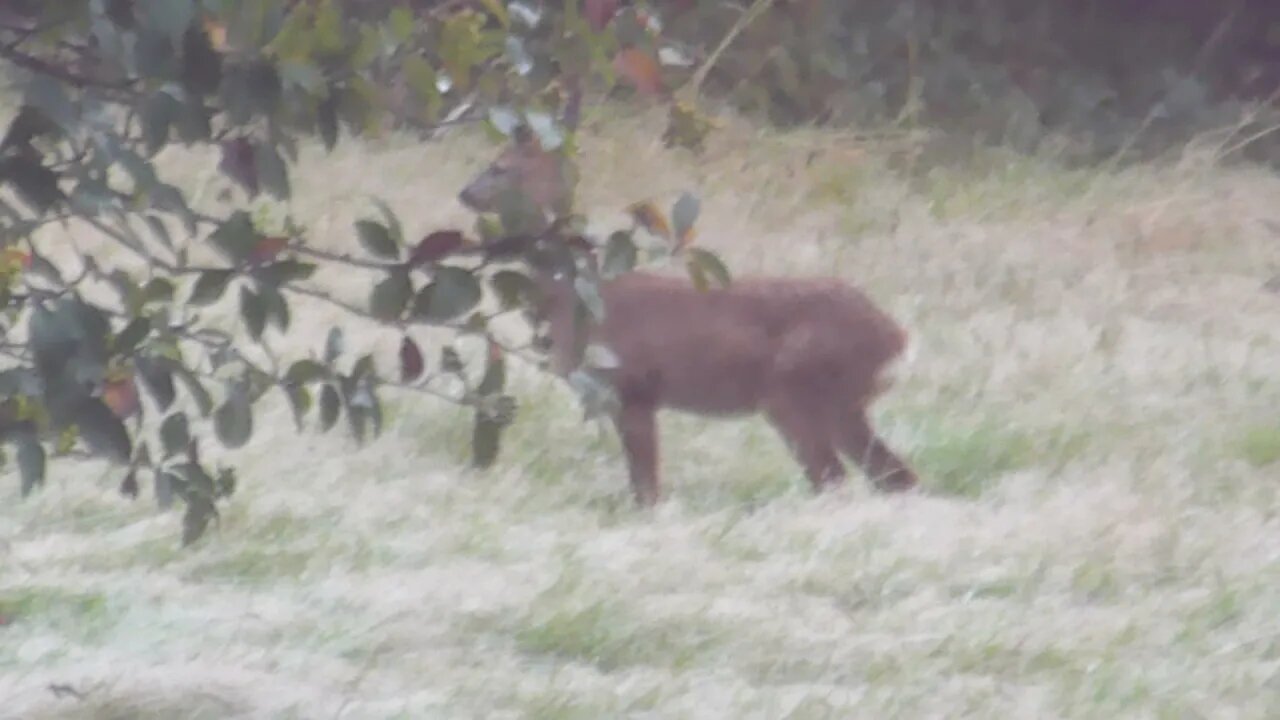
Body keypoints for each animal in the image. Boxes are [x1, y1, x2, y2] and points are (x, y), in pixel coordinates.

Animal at [457, 129, 919, 507]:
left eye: (500, 167)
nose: (464, 193)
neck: (577, 295)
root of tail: (896, 335)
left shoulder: (634, 388)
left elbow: (647, 489)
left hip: (797, 389)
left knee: (834, 478)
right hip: (843, 402)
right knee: (893, 476)